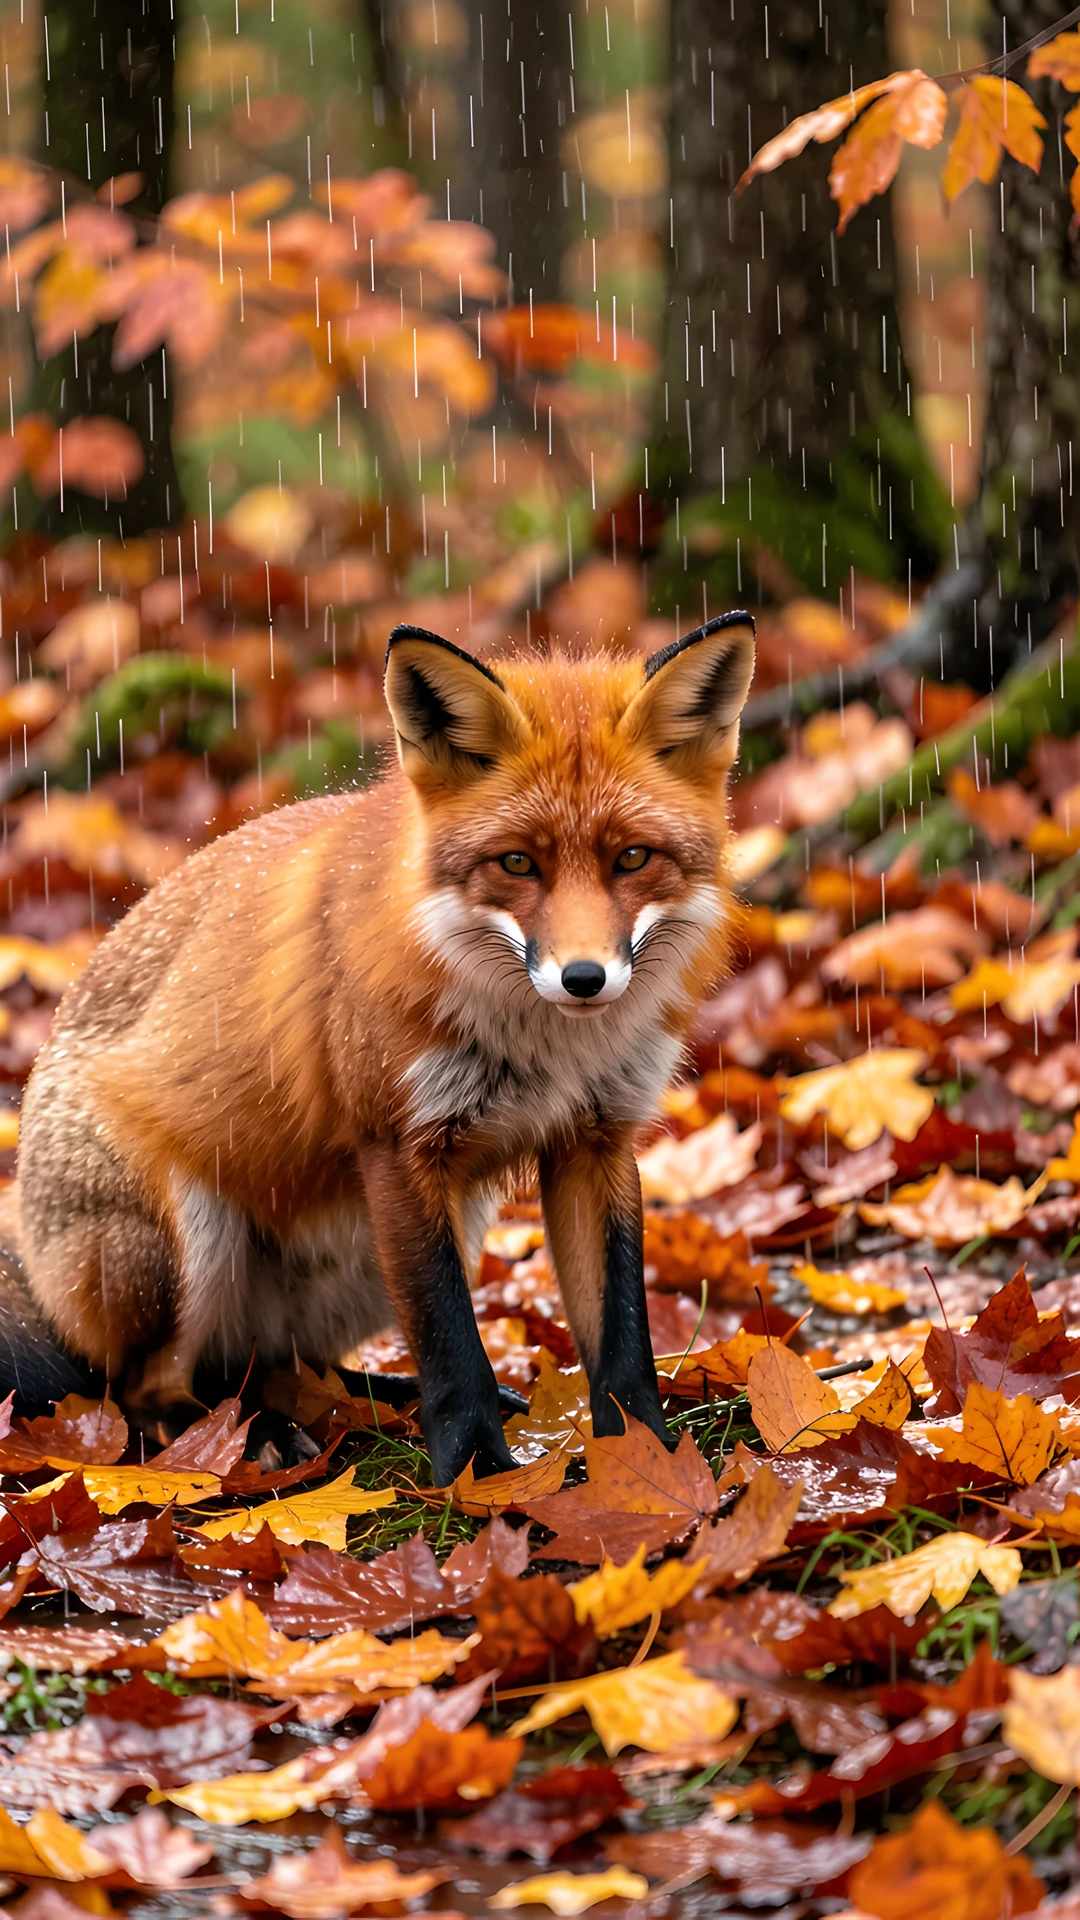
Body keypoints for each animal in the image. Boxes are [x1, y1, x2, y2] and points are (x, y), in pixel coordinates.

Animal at [2, 610, 755, 1485]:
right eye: (517, 863)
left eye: (631, 858)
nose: (583, 979)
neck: (553, 1050)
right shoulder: (399, 1144)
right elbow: (449, 1339)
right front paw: (477, 1475)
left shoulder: (597, 1137)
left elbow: (622, 1337)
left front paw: (651, 1460)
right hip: (187, 1239)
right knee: (143, 1394)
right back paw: (244, 1436)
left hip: (398, 1244)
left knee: (278, 1366)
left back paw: (365, 1397)